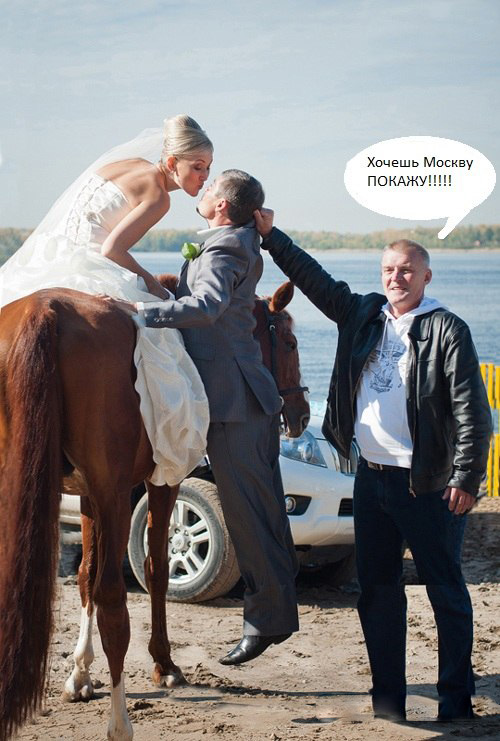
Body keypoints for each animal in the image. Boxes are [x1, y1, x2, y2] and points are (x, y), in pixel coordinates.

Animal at [0, 280, 309, 741]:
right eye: (289, 343)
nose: (302, 414)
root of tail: (46, 309)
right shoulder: (160, 484)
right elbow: (156, 570)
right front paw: (164, 665)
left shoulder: (89, 495)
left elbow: (85, 574)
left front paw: (80, 674)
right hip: (114, 493)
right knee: (114, 600)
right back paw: (120, 721)